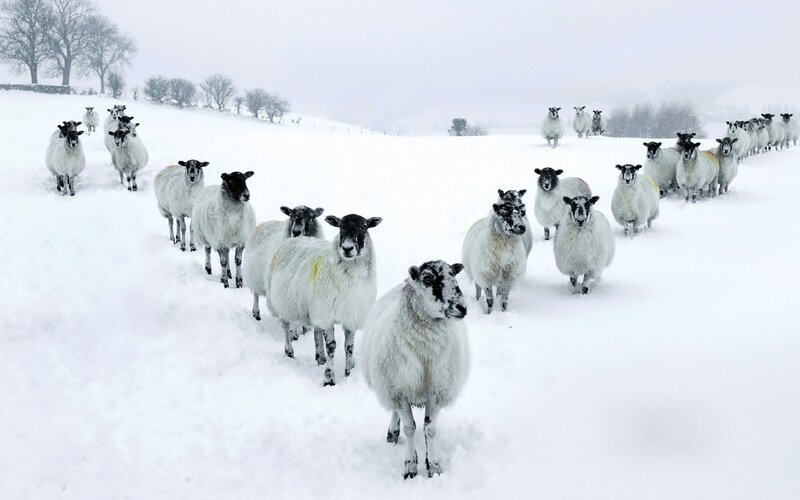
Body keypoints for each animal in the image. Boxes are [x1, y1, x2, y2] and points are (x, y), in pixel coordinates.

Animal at [266, 214, 382, 386]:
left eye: (364, 228)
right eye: (340, 228)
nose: (347, 248)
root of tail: (293, 239)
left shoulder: (351, 315)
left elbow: (349, 346)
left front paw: (348, 371)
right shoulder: (327, 316)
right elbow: (332, 346)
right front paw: (329, 377)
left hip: (315, 308)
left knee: (316, 330)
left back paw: (319, 357)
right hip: (281, 303)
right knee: (285, 327)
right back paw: (289, 352)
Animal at [361, 260, 469, 479]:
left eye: (454, 275)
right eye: (427, 278)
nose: (462, 307)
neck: (425, 352)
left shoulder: (436, 392)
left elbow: (430, 430)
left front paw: (433, 465)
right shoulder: (400, 390)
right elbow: (410, 428)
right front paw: (410, 466)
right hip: (390, 384)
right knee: (395, 412)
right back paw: (393, 433)